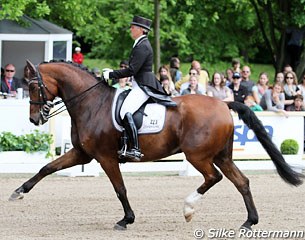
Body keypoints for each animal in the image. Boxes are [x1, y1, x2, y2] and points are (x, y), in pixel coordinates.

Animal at [9, 60, 302, 231]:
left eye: (33, 86)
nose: (35, 119)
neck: (91, 103)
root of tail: (223, 103)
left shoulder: (105, 157)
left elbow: (120, 188)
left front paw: (126, 219)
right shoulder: (82, 154)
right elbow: (47, 168)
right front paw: (18, 192)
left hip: (198, 155)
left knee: (213, 178)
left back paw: (188, 209)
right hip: (221, 155)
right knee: (241, 181)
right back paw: (249, 222)